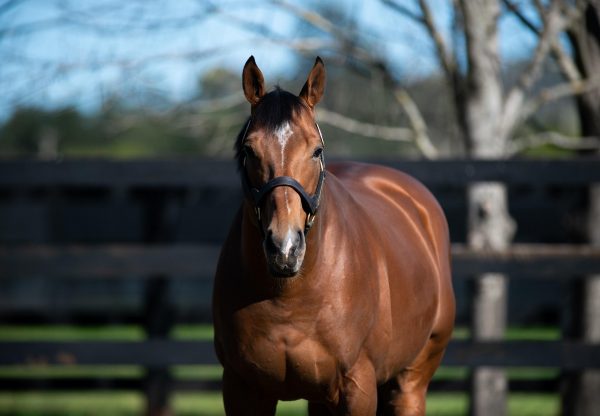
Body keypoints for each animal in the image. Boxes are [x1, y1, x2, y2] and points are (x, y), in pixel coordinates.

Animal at [213, 56, 452, 416]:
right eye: (249, 150)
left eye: (316, 150)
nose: (285, 248)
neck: (289, 296)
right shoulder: (242, 389)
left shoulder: (357, 388)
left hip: (411, 381)